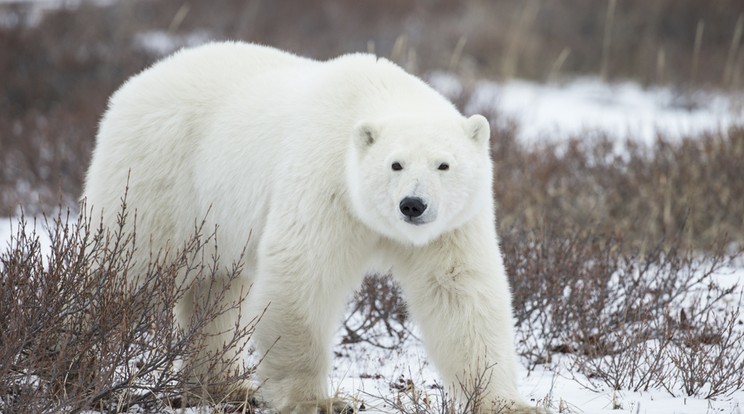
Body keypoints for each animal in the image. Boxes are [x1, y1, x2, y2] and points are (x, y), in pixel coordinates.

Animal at [83, 42, 548, 414]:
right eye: (395, 164)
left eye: (444, 165)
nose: (413, 205)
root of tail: (135, 83)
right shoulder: (326, 182)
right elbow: (303, 276)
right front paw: (319, 401)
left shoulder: (452, 226)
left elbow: (460, 293)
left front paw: (507, 403)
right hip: (154, 179)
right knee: (122, 269)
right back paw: (84, 365)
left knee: (215, 293)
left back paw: (225, 387)